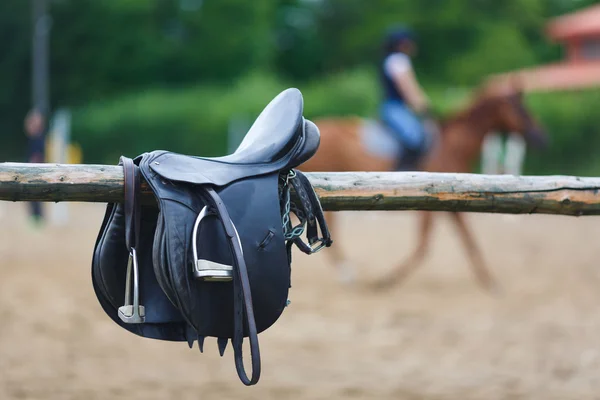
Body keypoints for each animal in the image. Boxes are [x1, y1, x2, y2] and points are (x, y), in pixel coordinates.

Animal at [300, 79, 548, 290]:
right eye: (522, 110)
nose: (542, 137)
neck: (452, 144)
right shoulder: (432, 200)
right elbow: (425, 245)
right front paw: (387, 280)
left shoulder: (454, 200)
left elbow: (467, 240)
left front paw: (489, 280)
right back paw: (346, 272)